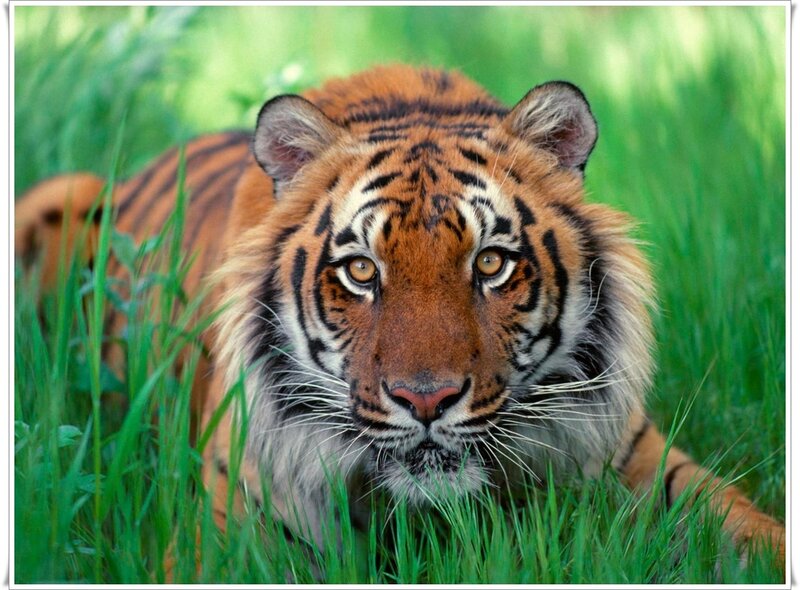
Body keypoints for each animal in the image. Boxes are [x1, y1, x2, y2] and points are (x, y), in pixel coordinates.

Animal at [15, 64, 785, 574]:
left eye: (490, 263)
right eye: (361, 272)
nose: (426, 400)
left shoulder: (638, 458)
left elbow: (749, 532)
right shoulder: (232, 525)